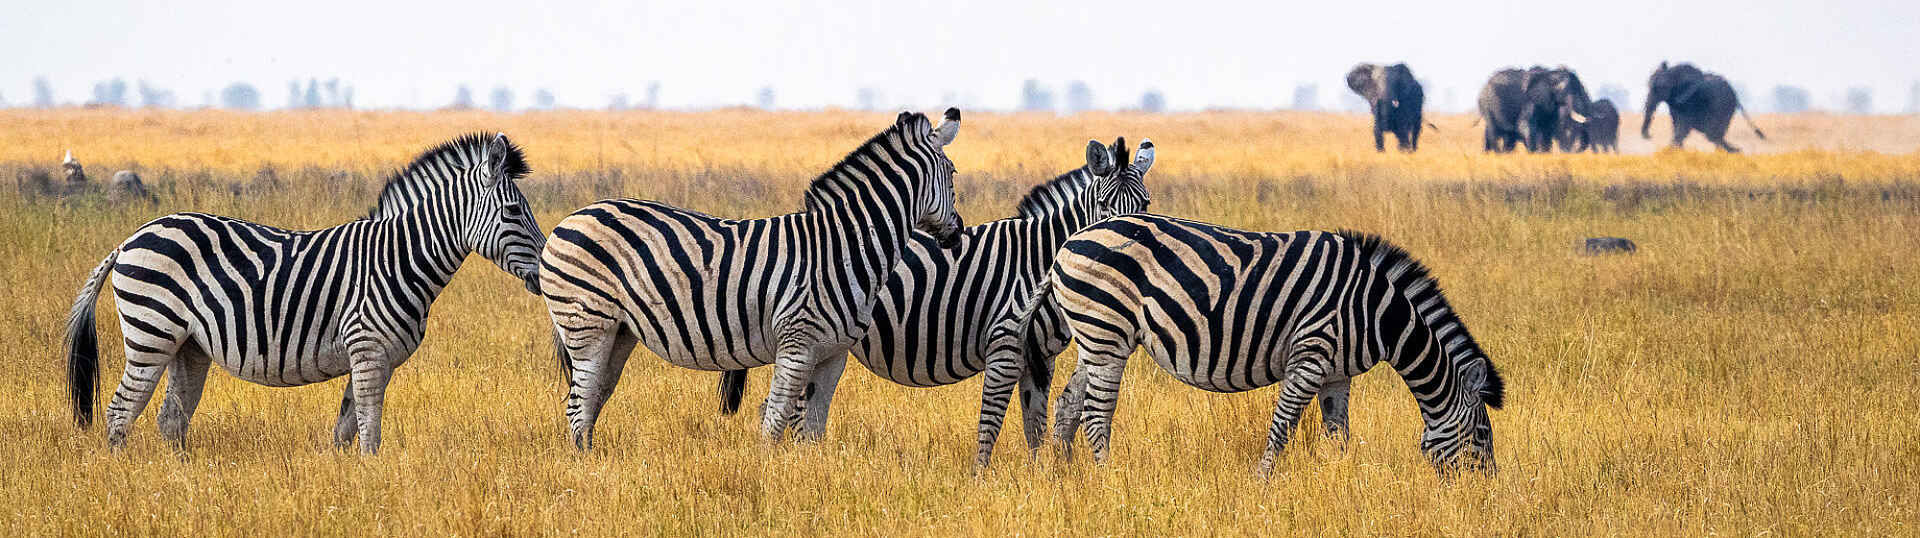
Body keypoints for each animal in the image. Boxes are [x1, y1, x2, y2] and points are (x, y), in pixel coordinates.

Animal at [64, 132, 546, 453]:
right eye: (513, 210)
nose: (544, 272)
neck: (398, 258)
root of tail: (130, 238)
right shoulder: (368, 350)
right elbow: (370, 432)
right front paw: (374, 481)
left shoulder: (373, 357)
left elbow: (347, 429)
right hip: (151, 334)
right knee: (120, 412)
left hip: (188, 345)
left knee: (171, 419)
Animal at [539, 109, 964, 448]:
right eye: (953, 173)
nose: (957, 235)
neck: (842, 245)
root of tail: (572, 216)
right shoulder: (797, 343)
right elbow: (774, 423)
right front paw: (768, 475)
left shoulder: (833, 354)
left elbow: (813, 429)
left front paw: (812, 476)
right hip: (585, 322)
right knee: (579, 405)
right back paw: (585, 469)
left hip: (619, 331)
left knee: (594, 397)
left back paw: (594, 461)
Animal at [714, 137, 1156, 446]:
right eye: (1104, 205)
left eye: (1147, 204)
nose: (1125, 250)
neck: (1039, 257)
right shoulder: (1009, 344)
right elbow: (998, 422)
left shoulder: (1038, 356)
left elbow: (1035, 426)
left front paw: (1038, 479)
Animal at [976, 215, 1506, 475]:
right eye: (1483, 433)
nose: (1488, 490)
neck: (1375, 310)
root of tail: (1066, 245)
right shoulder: (1311, 354)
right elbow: (1284, 426)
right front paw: (1264, 483)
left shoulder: (1336, 374)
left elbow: (1338, 434)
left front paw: (1340, 480)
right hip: (1107, 331)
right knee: (1095, 412)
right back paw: (1105, 481)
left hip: (1096, 335)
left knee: (1068, 403)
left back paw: (1060, 478)